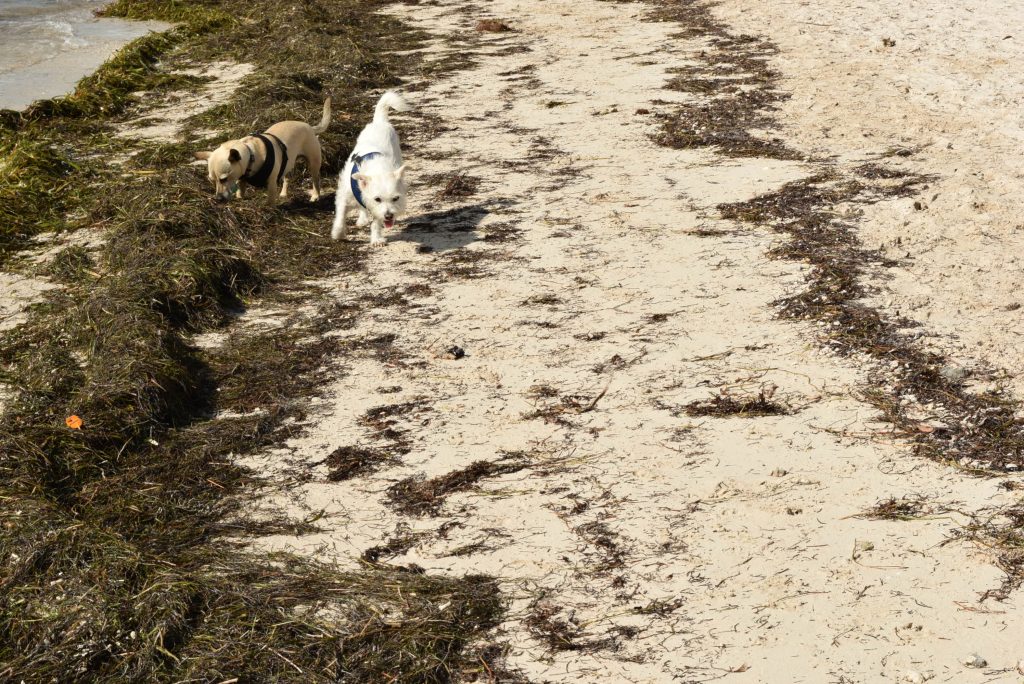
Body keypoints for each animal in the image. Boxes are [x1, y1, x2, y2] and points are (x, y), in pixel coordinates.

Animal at [195, 97, 331, 205]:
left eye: (223, 179)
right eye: (212, 181)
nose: (217, 199)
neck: (251, 154)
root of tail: (309, 126)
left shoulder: (271, 184)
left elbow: (270, 201)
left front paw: (268, 209)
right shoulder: (242, 179)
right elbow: (240, 191)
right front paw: (240, 198)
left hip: (313, 164)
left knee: (316, 180)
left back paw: (315, 196)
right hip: (288, 163)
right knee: (287, 178)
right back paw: (283, 193)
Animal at [329, 90, 405, 245]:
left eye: (395, 198)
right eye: (377, 199)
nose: (389, 216)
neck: (378, 169)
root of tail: (380, 122)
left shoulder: (378, 211)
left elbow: (376, 223)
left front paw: (376, 238)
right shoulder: (343, 198)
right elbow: (340, 216)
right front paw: (338, 234)